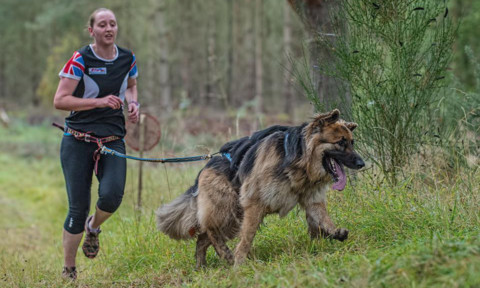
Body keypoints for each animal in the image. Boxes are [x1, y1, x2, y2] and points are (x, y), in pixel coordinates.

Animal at [158, 109, 364, 266]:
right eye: (341, 142)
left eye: (352, 142)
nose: (362, 163)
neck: (297, 160)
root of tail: (207, 164)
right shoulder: (254, 205)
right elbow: (247, 238)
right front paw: (240, 263)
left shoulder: (312, 200)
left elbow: (323, 219)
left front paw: (334, 233)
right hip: (228, 211)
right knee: (210, 230)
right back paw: (225, 255)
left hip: (233, 219)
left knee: (202, 239)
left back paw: (202, 266)